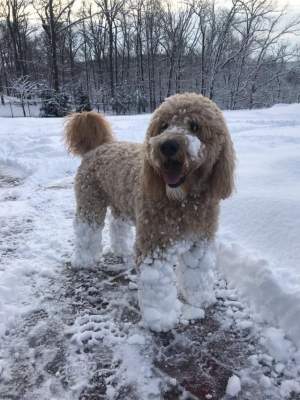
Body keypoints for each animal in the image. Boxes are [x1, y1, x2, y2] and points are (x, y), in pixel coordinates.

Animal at [65, 93, 234, 332]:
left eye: (195, 126)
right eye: (163, 125)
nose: (168, 145)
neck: (184, 201)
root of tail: (100, 146)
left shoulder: (200, 240)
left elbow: (198, 271)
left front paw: (200, 298)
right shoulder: (155, 243)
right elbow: (157, 283)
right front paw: (161, 320)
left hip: (122, 202)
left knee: (117, 225)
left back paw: (121, 249)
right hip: (90, 201)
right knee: (86, 231)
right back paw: (83, 260)